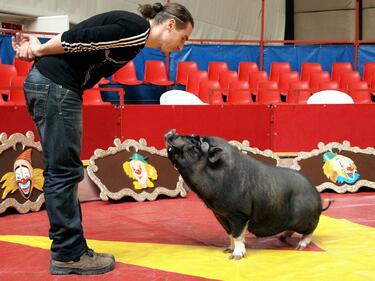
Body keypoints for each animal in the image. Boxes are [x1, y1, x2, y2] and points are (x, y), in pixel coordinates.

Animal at [166, 129, 334, 258]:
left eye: (196, 144)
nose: (171, 131)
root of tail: (317, 196)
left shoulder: (240, 213)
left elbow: (238, 234)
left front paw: (235, 257)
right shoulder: (220, 214)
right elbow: (230, 234)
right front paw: (227, 250)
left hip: (306, 220)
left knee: (310, 231)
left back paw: (300, 247)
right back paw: (282, 237)